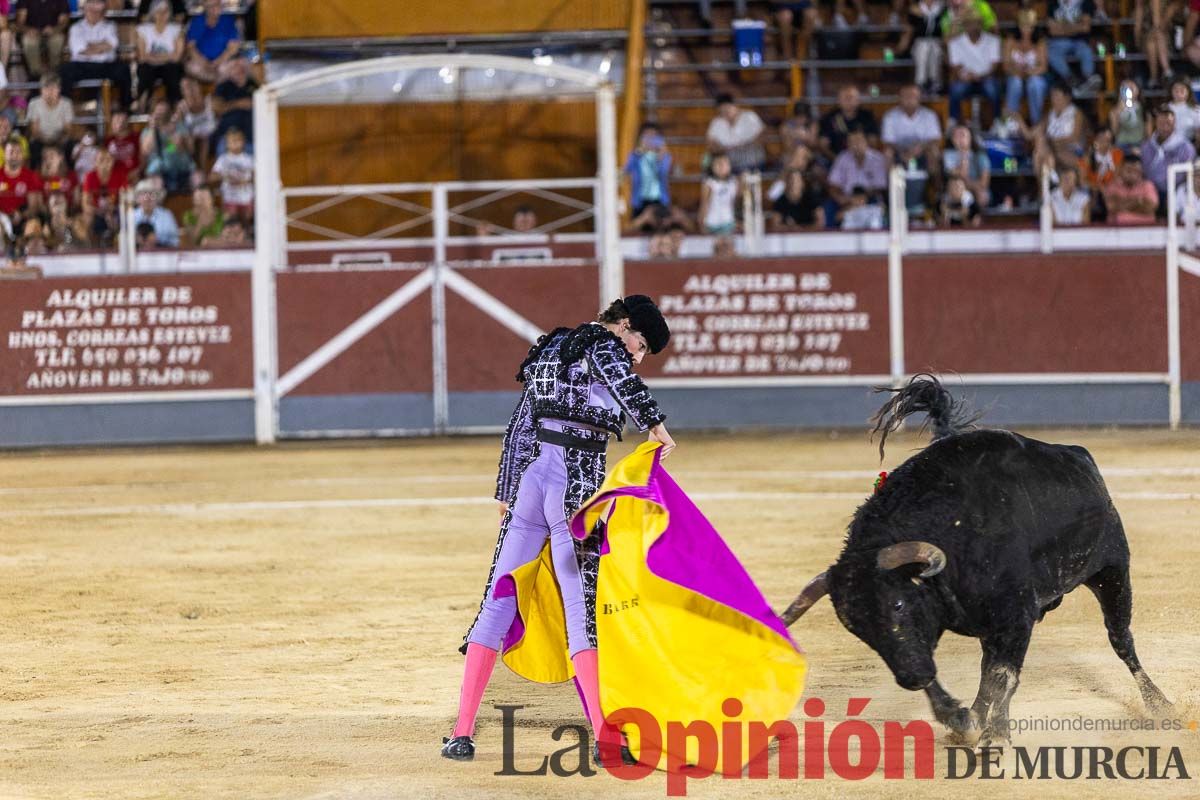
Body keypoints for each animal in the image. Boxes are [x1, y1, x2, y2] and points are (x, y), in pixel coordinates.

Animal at [782, 379, 1166, 748]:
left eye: (899, 603)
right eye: (856, 628)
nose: (910, 678)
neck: (953, 525)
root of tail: (1079, 457)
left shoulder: (1017, 614)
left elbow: (1003, 676)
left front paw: (995, 734)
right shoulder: (954, 628)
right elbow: (964, 672)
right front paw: (962, 719)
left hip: (1112, 571)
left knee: (1120, 639)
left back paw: (1161, 705)